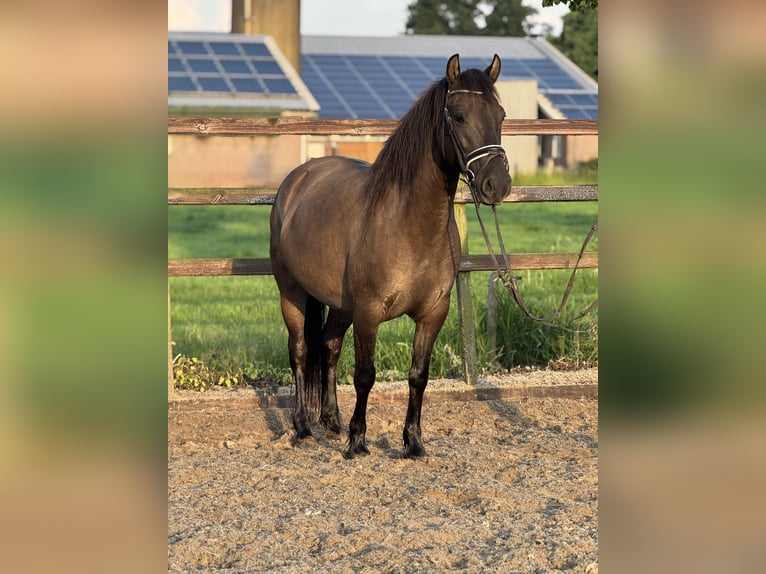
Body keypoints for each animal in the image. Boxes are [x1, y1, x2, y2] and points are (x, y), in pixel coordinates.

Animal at [269, 54, 511, 458]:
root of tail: (299, 177)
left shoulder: (433, 313)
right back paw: (303, 426)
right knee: (300, 351)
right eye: (458, 115)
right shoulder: (369, 312)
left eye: (501, 115)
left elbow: (418, 376)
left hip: (341, 305)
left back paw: (330, 421)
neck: (409, 225)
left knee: (329, 346)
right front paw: (357, 441)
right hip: (292, 292)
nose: (498, 184)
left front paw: (413, 442)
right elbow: (365, 375)